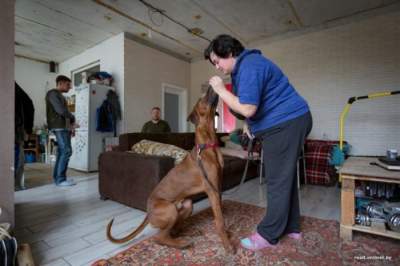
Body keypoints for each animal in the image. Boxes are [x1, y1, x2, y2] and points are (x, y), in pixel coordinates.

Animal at [106, 87, 234, 254]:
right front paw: (227, 244)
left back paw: (188, 234)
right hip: (170, 210)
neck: (208, 145)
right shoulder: (212, 189)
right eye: (202, 99)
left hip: (187, 204)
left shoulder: (218, 186)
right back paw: (182, 244)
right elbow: (219, 220)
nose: (211, 86)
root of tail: (148, 213)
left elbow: (220, 213)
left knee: (173, 230)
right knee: (160, 237)